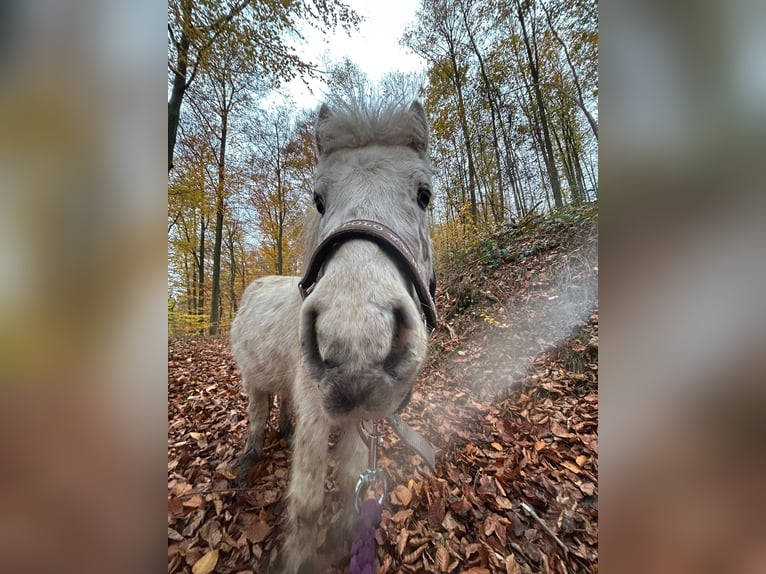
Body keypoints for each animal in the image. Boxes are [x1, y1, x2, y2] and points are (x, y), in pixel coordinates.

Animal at [233, 98, 437, 573]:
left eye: (425, 195)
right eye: (318, 199)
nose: (358, 340)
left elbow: (349, 482)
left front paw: (346, 537)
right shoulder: (316, 413)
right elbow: (307, 502)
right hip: (253, 381)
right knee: (257, 412)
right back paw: (249, 457)